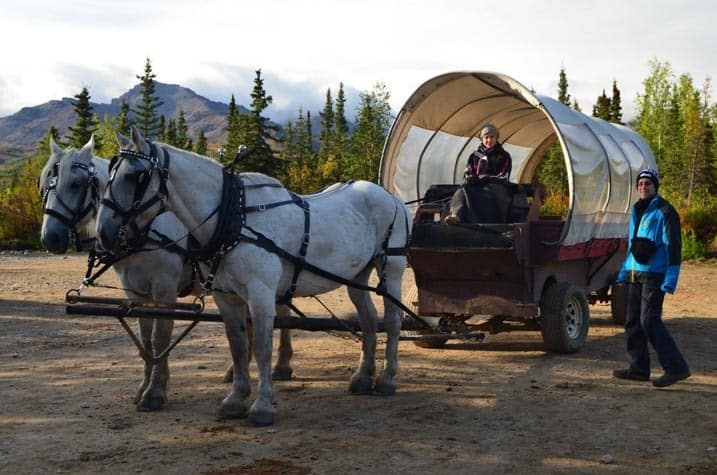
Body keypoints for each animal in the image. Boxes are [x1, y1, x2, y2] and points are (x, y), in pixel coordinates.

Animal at [38, 137, 296, 412]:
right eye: (44, 186)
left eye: (75, 183)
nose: (50, 238)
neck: (145, 230)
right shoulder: (136, 293)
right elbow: (146, 340)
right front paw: (146, 385)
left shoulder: (164, 289)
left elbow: (160, 337)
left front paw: (155, 391)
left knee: (282, 313)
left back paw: (282, 365)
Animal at [96, 127, 408, 428]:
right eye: (109, 173)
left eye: (134, 175)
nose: (104, 234)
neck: (235, 216)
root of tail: (392, 198)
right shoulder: (226, 296)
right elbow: (237, 344)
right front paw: (235, 399)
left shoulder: (260, 292)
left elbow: (261, 346)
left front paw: (262, 406)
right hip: (357, 275)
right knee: (369, 320)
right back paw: (363, 377)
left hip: (391, 268)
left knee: (392, 320)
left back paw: (387, 378)